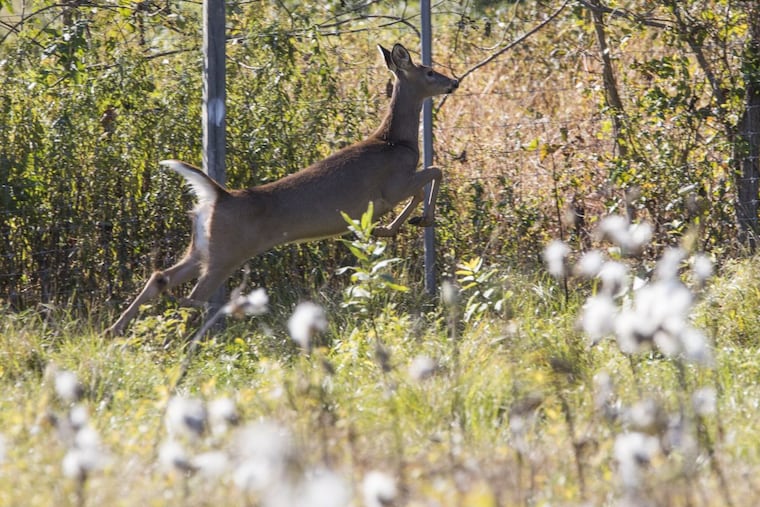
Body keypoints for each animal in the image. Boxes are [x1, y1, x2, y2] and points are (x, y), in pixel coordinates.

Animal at [106, 43, 459, 336]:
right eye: (429, 70)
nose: (453, 82)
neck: (396, 141)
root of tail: (219, 195)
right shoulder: (392, 185)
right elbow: (433, 172)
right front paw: (412, 222)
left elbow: (428, 179)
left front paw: (397, 226)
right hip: (226, 252)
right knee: (192, 296)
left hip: (201, 247)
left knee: (160, 277)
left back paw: (117, 331)